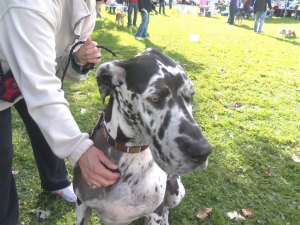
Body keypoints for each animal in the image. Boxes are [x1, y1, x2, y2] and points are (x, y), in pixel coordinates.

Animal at [73, 47, 212, 225]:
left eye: (191, 96)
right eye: (155, 98)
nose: (203, 152)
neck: (127, 154)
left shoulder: (154, 213)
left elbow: (160, 210)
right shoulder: (82, 205)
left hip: (176, 190)